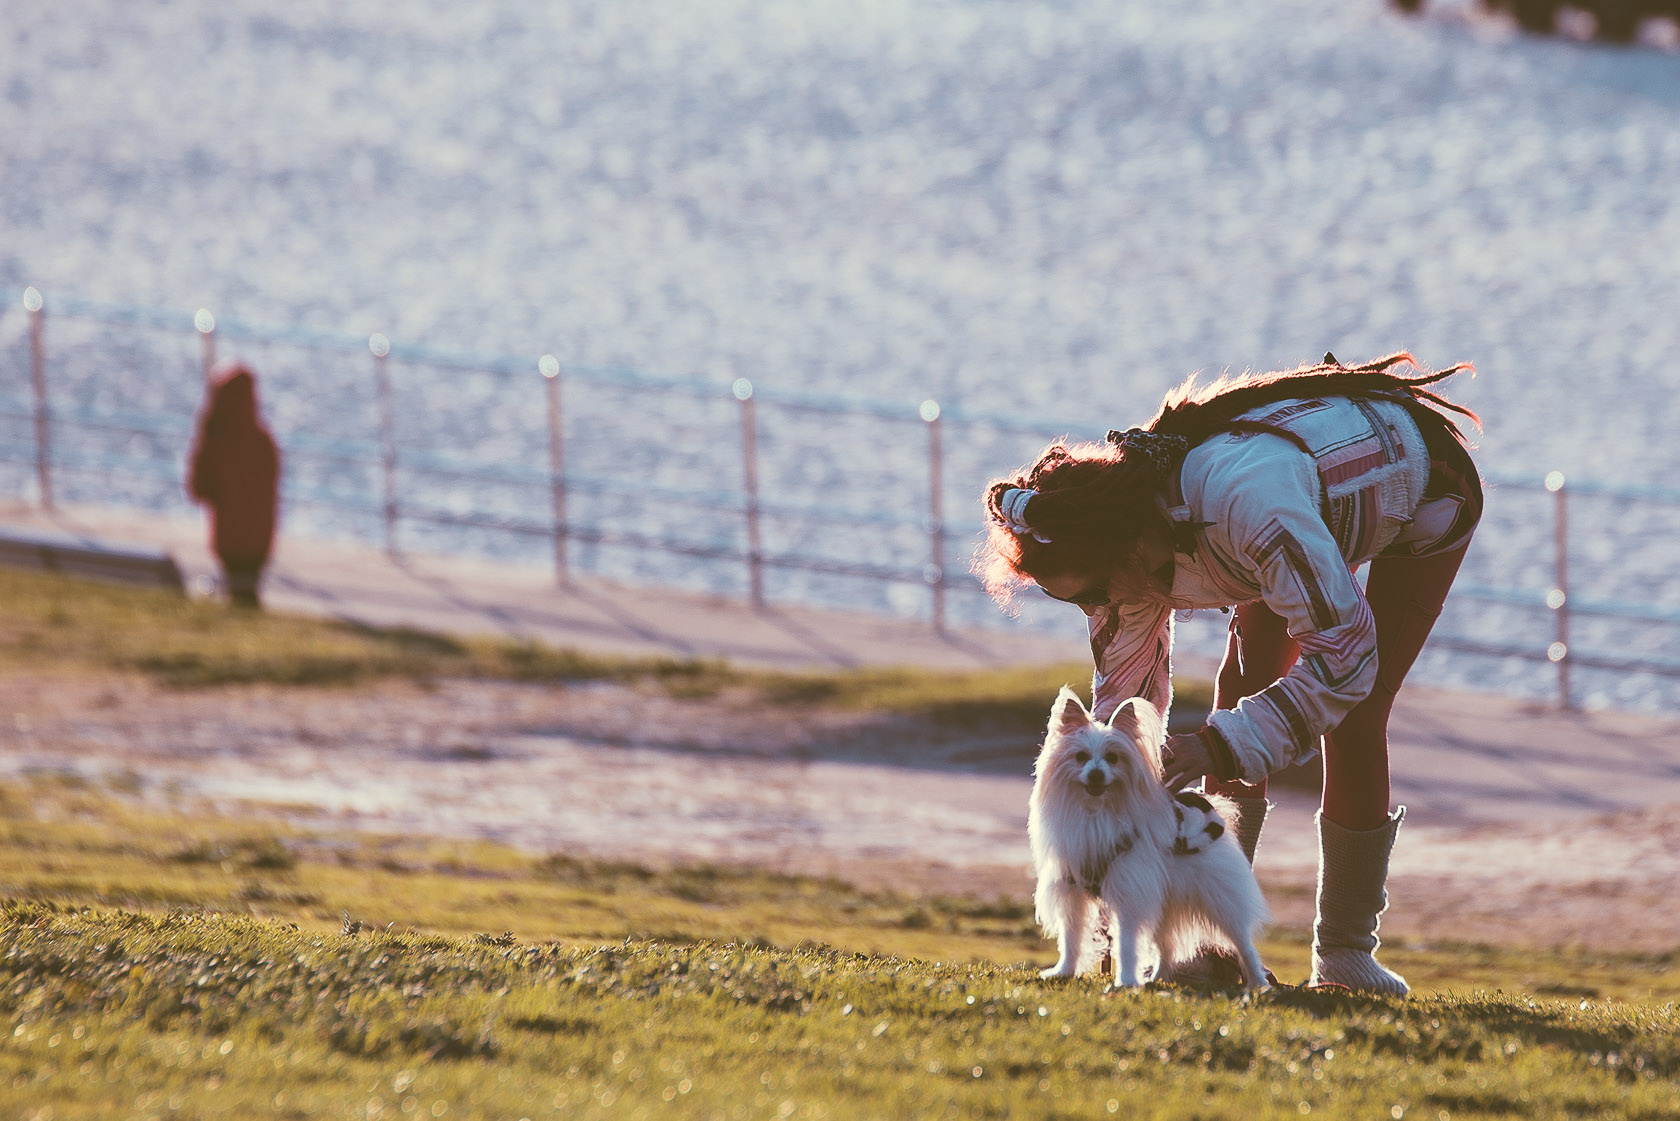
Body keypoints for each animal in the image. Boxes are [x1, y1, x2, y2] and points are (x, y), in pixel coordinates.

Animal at [1028, 689, 1263, 994]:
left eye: (1113, 758)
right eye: (1080, 757)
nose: (1096, 774)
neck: (1097, 810)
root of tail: (1212, 810)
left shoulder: (1129, 893)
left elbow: (1126, 944)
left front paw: (1126, 981)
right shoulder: (1073, 890)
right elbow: (1071, 937)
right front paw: (1064, 972)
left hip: (1220, 899)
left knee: (1243, 943)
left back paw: (1259, 983)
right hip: (1165, 905)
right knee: (1167, 948)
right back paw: (1157, 978)